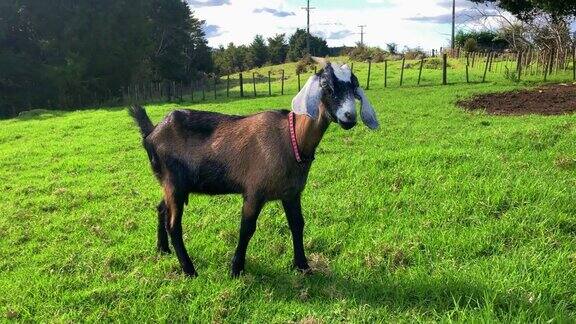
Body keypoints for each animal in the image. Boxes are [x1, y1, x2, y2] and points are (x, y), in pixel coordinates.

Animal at [129, 57, 380, 276]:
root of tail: (152, 132)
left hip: (171, 184)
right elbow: (247, 228)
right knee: (174, 225)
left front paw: (303, 266)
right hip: (174, 182)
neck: (291, 139)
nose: (349, 117)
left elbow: (297, 224)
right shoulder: (254, 191)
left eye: (354, 86)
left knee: (161, 208)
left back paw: (162, 249)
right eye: (327, 86)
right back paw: (189, 270)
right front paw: (236, 269)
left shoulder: (291, 193)